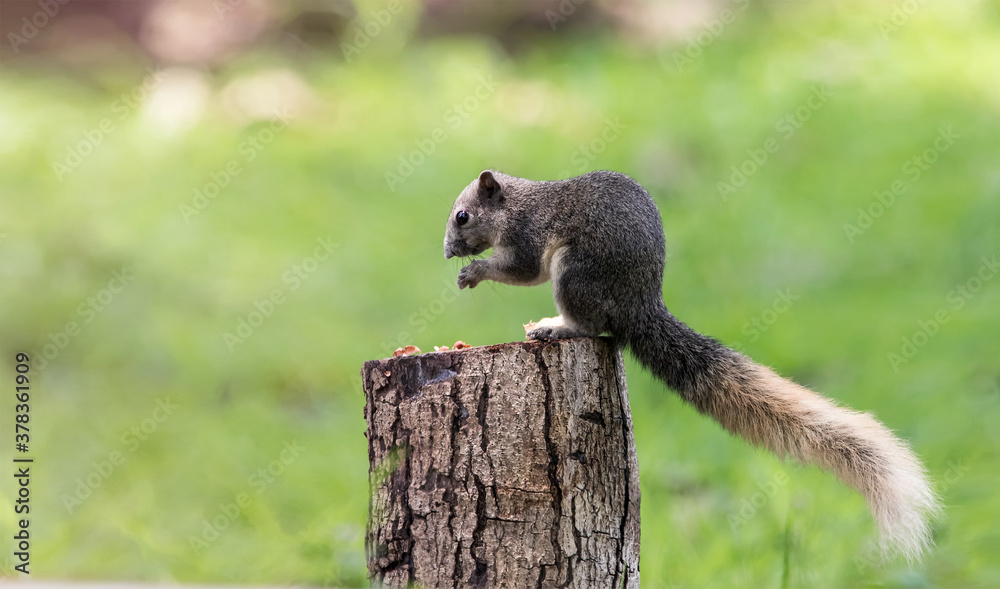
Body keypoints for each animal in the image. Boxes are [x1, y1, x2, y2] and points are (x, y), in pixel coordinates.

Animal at [443, 169, 941, 561]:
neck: (518, 203)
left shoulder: (528, 236)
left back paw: (555, 327)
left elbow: (523, 271)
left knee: (589, 324)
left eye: (462, 215)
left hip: (577, 274)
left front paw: (474, 273)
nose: (448, 252)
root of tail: (640, 308)